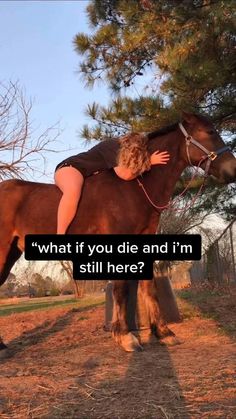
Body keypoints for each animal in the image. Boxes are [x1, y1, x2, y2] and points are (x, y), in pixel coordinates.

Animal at [0, 112, 236, 352]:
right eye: (210, 132)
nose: (232, 170)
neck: (135, 187)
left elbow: (149, 288)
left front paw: (163, 332)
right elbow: (121, 289)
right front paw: (125, 336)